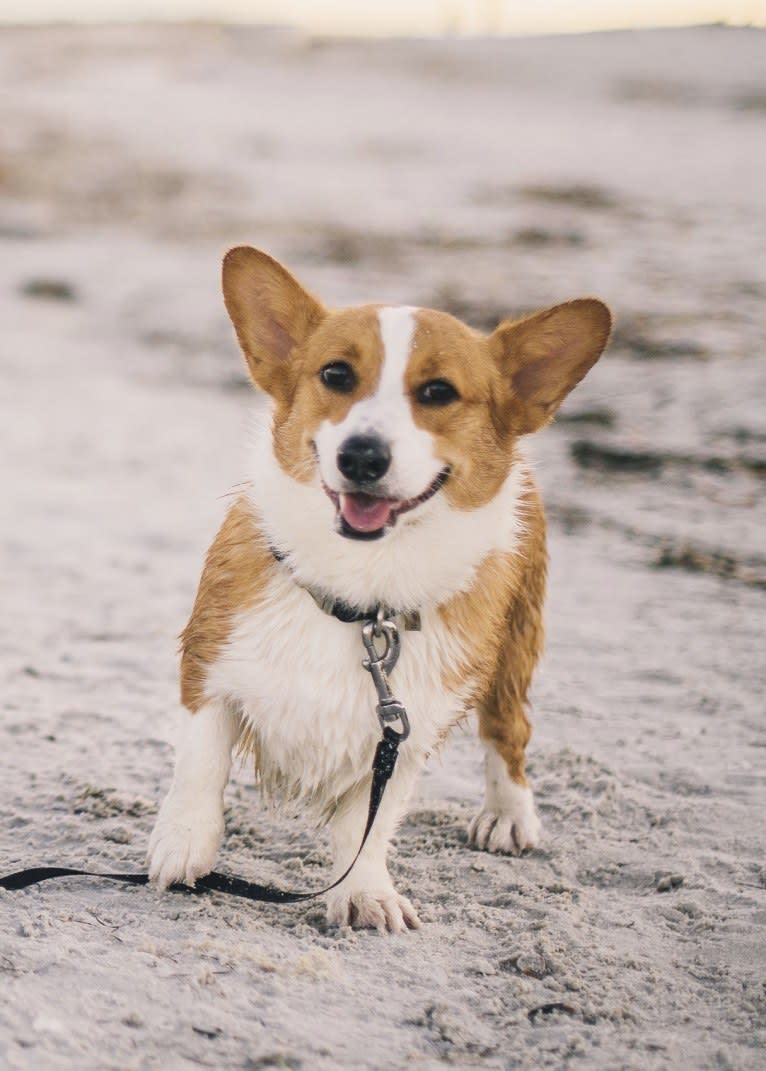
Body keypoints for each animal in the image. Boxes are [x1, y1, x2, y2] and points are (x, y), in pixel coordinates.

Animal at [145, 248, 612, 929]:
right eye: (336, 375)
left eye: (439, 392)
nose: (362, 456)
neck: (360, 596)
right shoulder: (209, 662)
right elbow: (200, 762)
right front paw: (182, 846)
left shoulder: (405, 727)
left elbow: (370, 823)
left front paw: (364, 893)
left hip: (516, 646)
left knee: (509, 730)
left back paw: (509, 814)